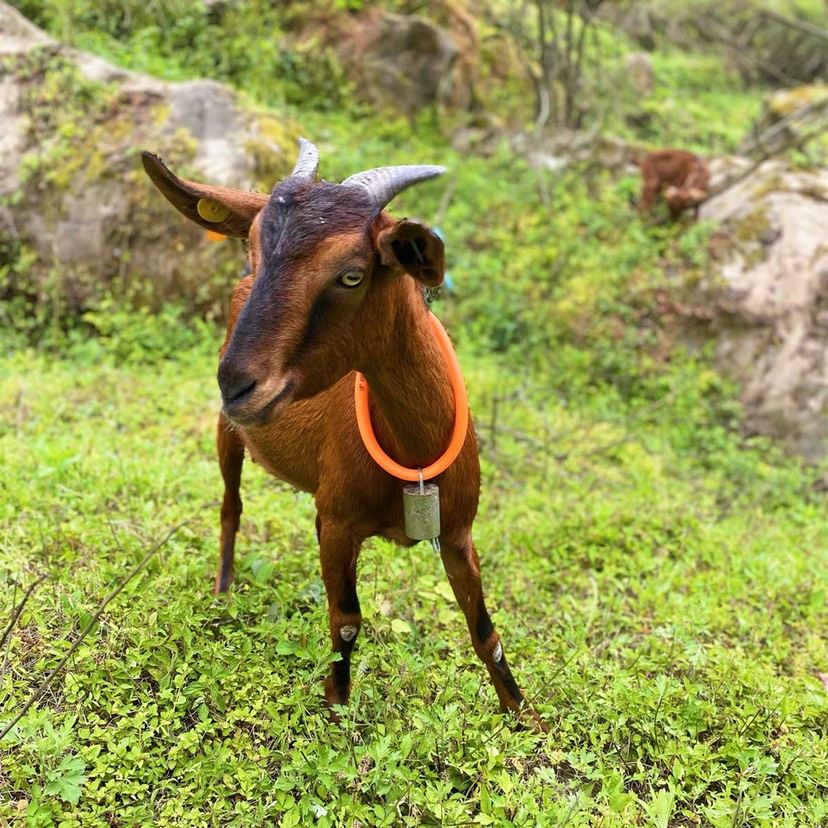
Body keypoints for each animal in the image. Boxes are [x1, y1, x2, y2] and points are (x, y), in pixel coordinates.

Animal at [141, 141, 548, 732]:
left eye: (352, 275)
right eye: (253, 252)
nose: (237, 384)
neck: (414, 452)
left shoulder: (457, 529)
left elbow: (485, 631)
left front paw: (526, 717)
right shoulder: (335, 523)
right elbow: (347, 620)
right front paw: (335, 712)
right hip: (228, 435)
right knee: (230, 507)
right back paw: (222, 593)